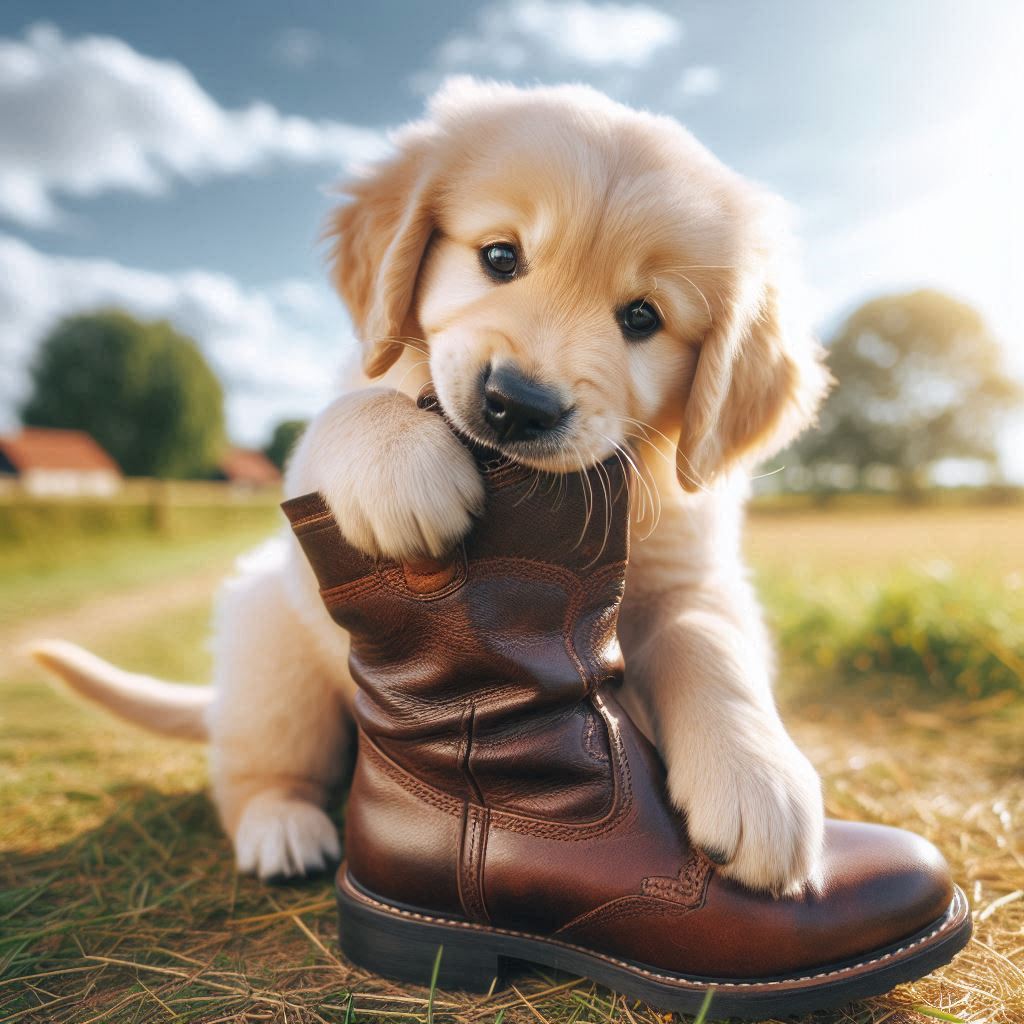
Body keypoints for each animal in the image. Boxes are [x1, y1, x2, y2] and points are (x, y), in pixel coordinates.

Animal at [34, 79, 831, 897]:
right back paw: (280, 824)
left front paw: (759, 779)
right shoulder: (331, 434)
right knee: (258, 767)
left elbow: (714, 646)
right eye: (500, 256)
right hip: (271, 648)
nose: (519, 403)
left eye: (643, 316)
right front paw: (399, 460)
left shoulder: (691, 573)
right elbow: (351, 411)